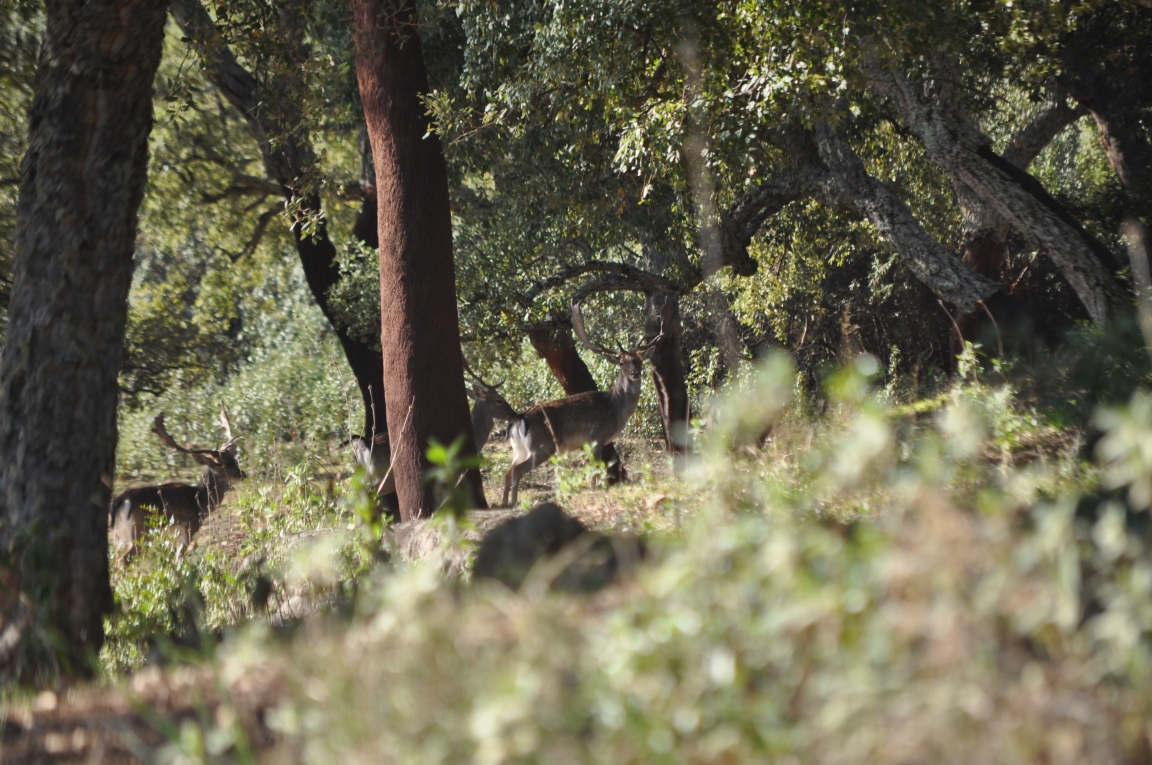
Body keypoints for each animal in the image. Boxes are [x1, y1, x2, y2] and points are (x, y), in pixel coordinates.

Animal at [110, 405, 245, 562]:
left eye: (233, 459)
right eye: (219, 463)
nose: (241, 474)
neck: (201, 501)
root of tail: (120, 501)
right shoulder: (190, 525)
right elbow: (179, 557)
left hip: (119, 534)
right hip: (139, 531)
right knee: (124, 558)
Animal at [502, 299, 668, 506]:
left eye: (639, 360)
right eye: (621, 362)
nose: (635, 373)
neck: (615, 408)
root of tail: (517, 420)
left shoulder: (587, 444)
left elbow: (592, 472)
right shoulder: (596, 436)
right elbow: (596, 471)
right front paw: (598, 490)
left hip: (519, 450)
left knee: (508, 472)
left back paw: (504, 503)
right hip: (542, 446)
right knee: (516, 471)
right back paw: (513, 503)